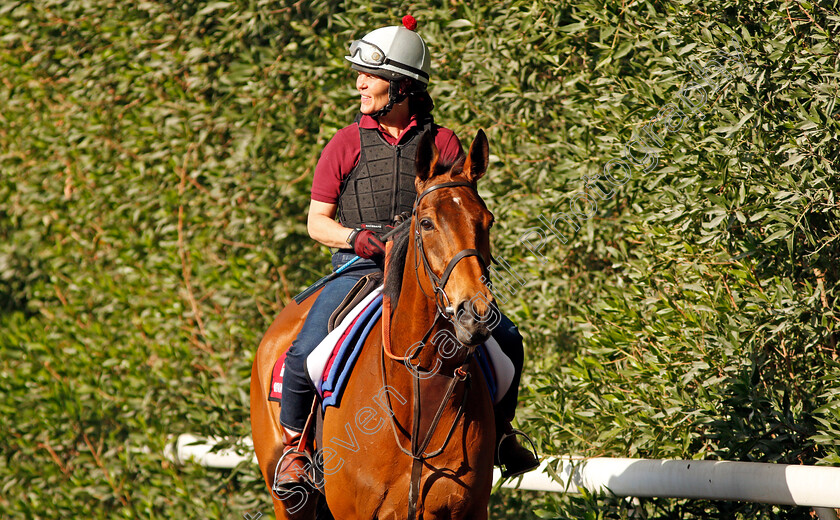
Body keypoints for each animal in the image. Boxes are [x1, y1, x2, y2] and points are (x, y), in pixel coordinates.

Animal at [249, 130, 498, 520]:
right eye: (426, 223)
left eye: (487, 221)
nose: (475, 312)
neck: (419, 381)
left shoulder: (467, 511)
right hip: (288, 501)